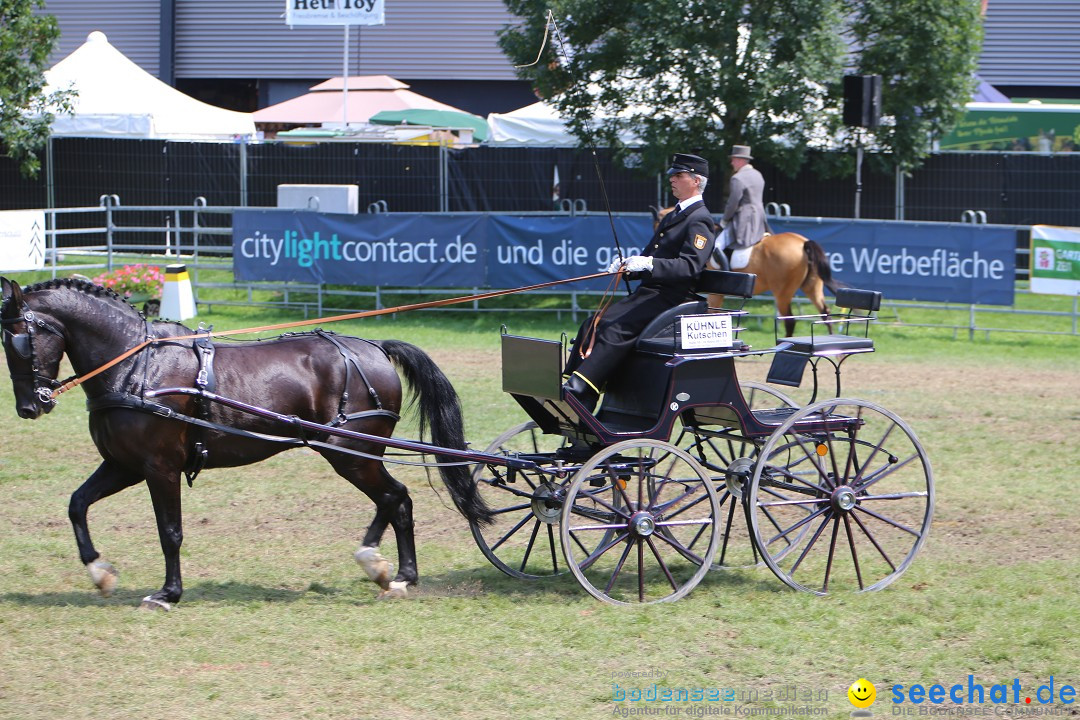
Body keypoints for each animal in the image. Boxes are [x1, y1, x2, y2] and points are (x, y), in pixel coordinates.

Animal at [2, 276, 492, 608]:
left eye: (19, 340)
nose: (28, 407)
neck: (137, 366)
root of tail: (373, 347)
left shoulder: (160, 467)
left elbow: (170, 532)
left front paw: (168, 593)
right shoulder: (123, 465)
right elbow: (77, 504)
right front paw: (99, 571)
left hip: (350, 453)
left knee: (395, 497)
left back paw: (381, 564)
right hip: (352, 453)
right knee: (397, 501)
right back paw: (394, 570)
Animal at [648, 205, 842, 334]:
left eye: (658, 223)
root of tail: (803, 243)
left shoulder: (714, 293)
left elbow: (711, 314)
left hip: (782, 292)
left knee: (790, 321)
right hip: (812, 287)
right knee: (825, 314)